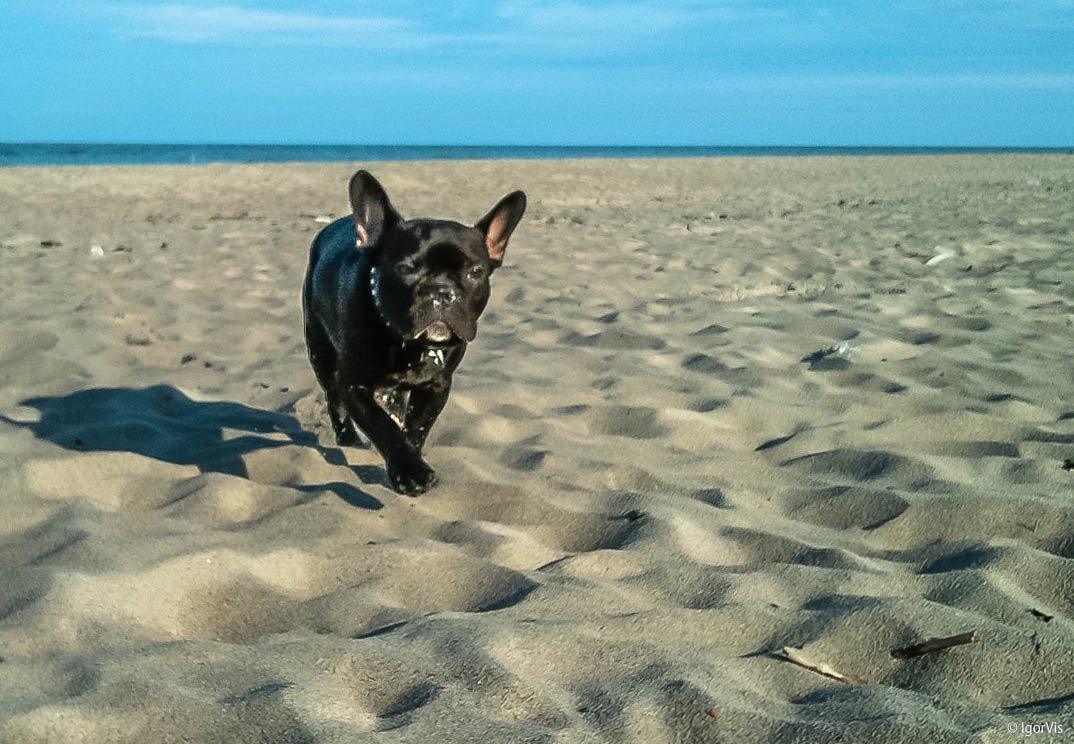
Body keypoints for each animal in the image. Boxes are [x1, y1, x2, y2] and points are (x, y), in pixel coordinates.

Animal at [302, 168, 524, 493]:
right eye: (405, 269)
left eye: (475, 273)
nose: (442, 292)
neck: (408, 343)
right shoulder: (353, 385)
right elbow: (382, 426)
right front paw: (409, 471)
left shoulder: (436, 386)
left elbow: (416, 426)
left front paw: (411, 457)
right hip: (321, 353)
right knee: (334, 398)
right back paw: (347, 438)